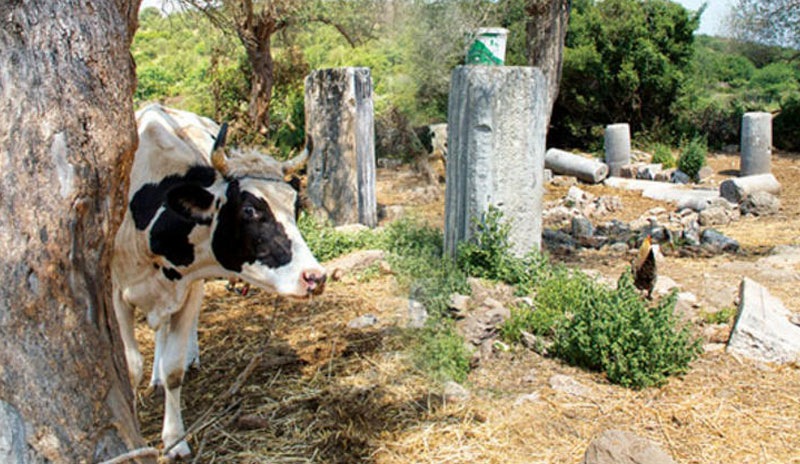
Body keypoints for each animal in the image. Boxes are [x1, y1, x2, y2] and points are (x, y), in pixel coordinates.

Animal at [111, 104, 324, 456]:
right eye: (250, 210)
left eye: (295, 206)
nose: (315, 277)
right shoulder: (115, 293)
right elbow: (129, 367)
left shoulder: (189, 285)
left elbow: (173, 369)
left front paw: (174, 440)